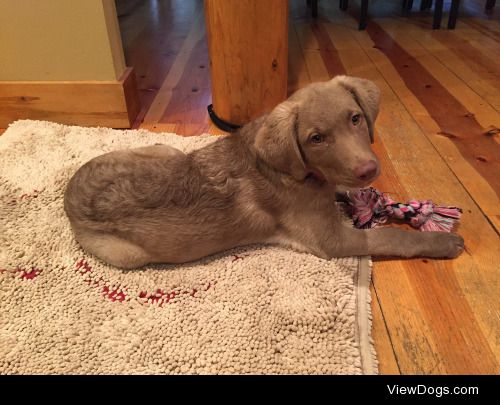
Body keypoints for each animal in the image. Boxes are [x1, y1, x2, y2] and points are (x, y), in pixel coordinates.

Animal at [63, 76, 464, 268]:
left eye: (355, 118)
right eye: (316, 138)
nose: (369, 170)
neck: (301, 175)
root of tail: (69, 195)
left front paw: (371, 199)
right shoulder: (334, 242)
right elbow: (390, 237)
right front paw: (442, 243)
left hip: (165, 149)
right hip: (128, 255)